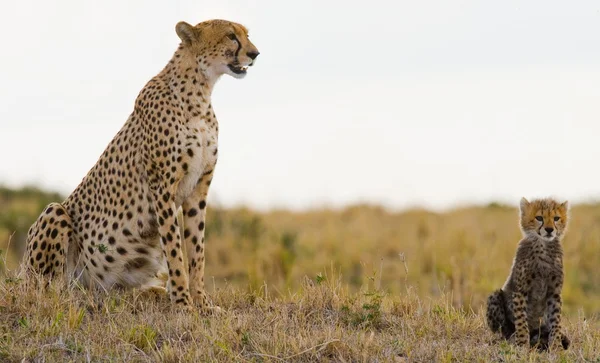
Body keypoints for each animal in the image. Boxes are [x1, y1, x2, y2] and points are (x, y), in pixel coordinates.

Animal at [23, 19, 258, 312]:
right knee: (49, 291)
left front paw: (202, 304)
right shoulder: (163, 187)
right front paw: (183, 303)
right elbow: (175, 250)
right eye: (230, 36)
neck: (200, 91)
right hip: (55, 218)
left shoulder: (198, 189)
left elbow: (197, 251)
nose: (255, 53)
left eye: (246, 35)